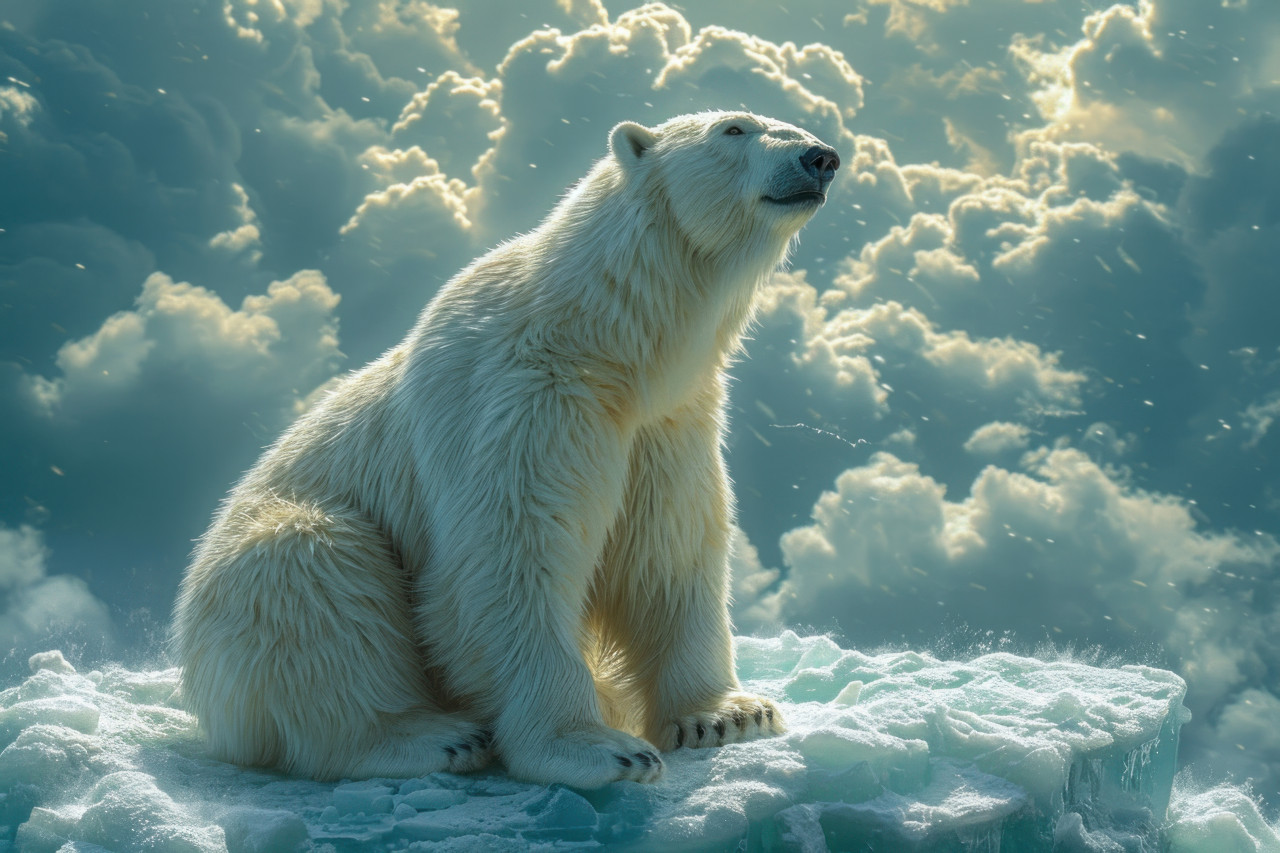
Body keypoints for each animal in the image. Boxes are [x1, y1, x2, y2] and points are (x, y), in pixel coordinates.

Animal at [172, 110, 839, 787]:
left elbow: (668, 549)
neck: (606, 344)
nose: (822, 157)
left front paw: (728, 715)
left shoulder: (667, 425)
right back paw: (432, 735)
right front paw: (602, 748)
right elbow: (508, 557)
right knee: (310, 572)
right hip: (258, 563)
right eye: (734, 129)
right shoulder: (523, 400)